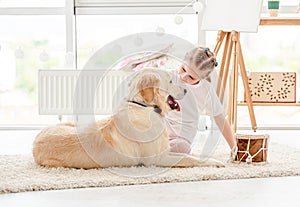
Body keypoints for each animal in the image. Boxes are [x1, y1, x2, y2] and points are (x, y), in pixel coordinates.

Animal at [32, 68, 224, 169]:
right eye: (170, 81)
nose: (186, 90)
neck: (144, 107)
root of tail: (35, 142)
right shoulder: (157, 159)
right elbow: (189, 158)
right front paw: (215, 162)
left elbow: (194, 154)